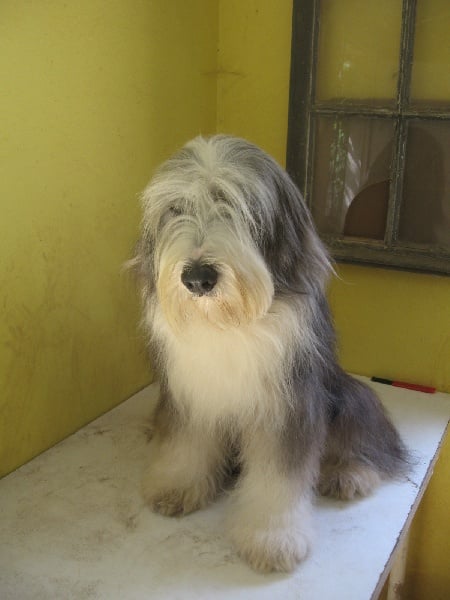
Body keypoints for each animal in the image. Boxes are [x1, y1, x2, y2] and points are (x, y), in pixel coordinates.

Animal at [130, 135, 409, 573]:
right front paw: (178, 485)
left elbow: (279, 479)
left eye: (241, 207)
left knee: (367, 440)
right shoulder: (191, 394)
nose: (198, 278)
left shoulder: (290, 405)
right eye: (176, 209)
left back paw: (349, 474)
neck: (229, 323)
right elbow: (187, 443)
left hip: (348, 393)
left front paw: (272, 539)